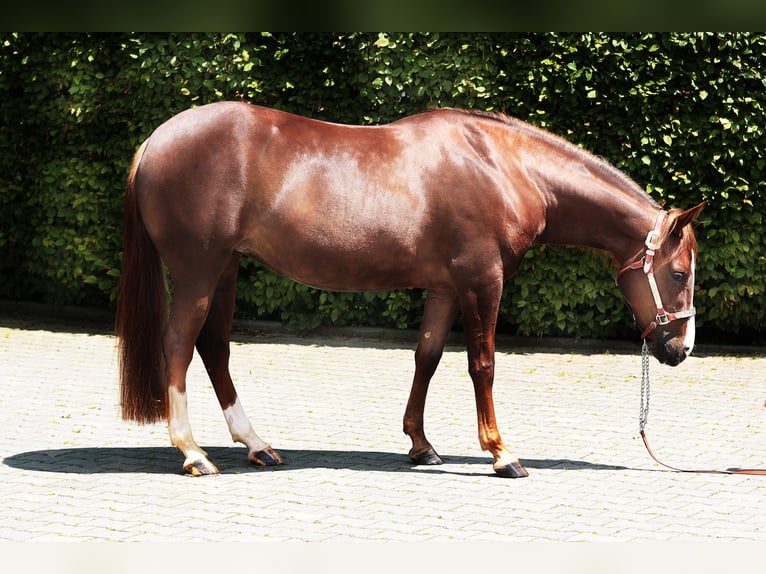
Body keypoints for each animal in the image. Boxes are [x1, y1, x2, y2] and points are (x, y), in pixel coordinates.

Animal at [115, 102, 708, 476]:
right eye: (679, 274)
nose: (680, 349)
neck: (503, 166)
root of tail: (156, 140)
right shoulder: (481, 281)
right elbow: (482, 364)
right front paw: (501, 454)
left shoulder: (445, 287)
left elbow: (427, 357)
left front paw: (421, 446)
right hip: (199, 270)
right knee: (178, 345)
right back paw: (193, 453)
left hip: (226, 270)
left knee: (214, 348)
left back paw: (257, 446)